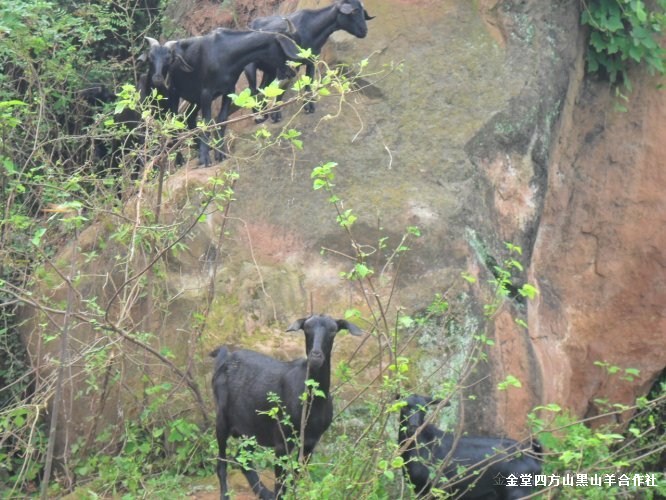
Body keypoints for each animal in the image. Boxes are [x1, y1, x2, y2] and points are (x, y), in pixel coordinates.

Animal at [161, 28, 298, 167]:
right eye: (283, 51)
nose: (292, 72)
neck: (226, 55)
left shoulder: (228, 91)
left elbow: (222, 120)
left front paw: (220, 153)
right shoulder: (206, 93)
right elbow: (207, 123)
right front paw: (205, 159)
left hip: (195, 98)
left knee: (189, 118)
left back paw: (199, 147)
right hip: (172, 95)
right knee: (172, 126)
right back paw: (180, 159)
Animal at [209, 314, 360, 498]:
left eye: (333, 330)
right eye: (307, 328)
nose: (315, 356)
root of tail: (225, 358)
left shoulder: (310, 442)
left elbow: (296, 477)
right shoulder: (282, 441)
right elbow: (281, 484)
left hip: (249, 426)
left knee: (242, 458)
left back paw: (263, 493)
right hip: (222, 418)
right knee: (221, 462)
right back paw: (226, 495)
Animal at [245, 0, 374, 123]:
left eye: (363, 12)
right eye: (354, 11)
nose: (364, 31)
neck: (310, 28)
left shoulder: (311, 61)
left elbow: (308, 82)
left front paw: (309, 107)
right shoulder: (286, 66)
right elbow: (280, 88)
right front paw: (276, 115)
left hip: (269, 69)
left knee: (262, 88)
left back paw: (263, 112)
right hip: (250, 66)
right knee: (253, 89)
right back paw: (258, 116)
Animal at [396, 394, 544, 500]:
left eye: (425, 409)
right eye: (404, 407)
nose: (413, 427)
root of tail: (533, 457)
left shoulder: (437, 488)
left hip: (517, 491)